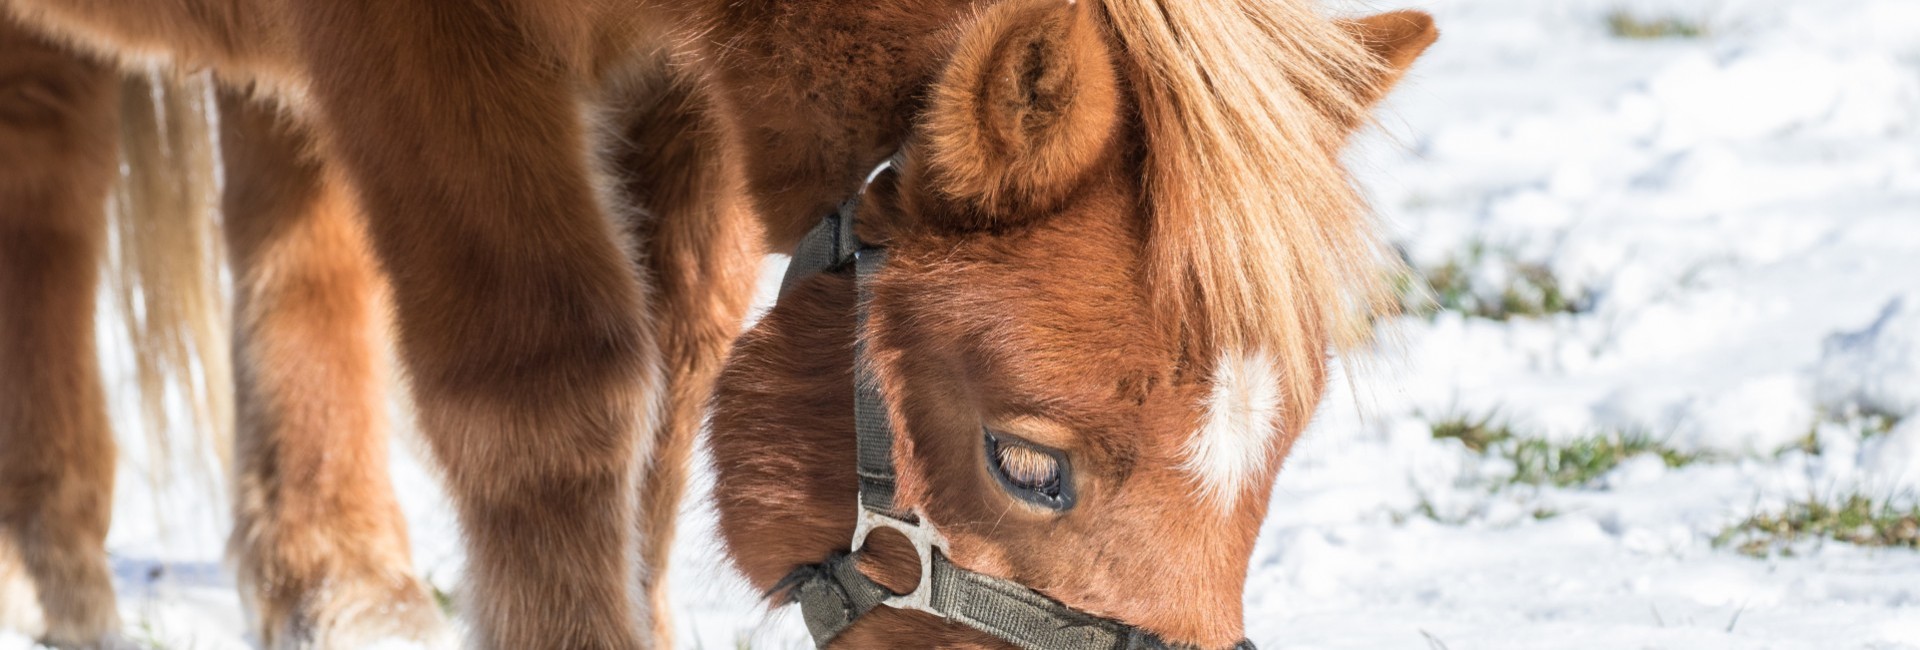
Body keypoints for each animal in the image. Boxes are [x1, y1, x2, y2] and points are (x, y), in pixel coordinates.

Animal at [0, 1, 1428, 650]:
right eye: (1031, 463)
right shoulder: (426, 51)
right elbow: (551, 393)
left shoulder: (670, 80)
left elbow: (674, 371)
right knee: (48, 208)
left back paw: (335, 582)